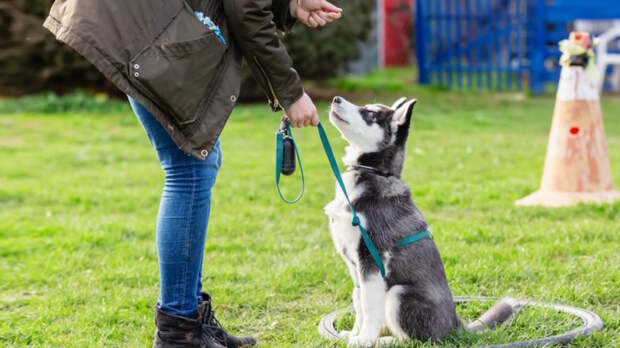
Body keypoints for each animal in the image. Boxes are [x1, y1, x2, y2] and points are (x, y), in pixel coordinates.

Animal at [324, 96, 460, 346]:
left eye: (369, 114)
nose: (336, 98)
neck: (373, 172)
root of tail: (456, 325)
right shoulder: (354, 264)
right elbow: (358, 299)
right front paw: (354, 333)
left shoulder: (371, 260)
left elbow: (370, 307)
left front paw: (364, 339)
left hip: (398, 293)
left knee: (416, 340)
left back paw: (385, 340)